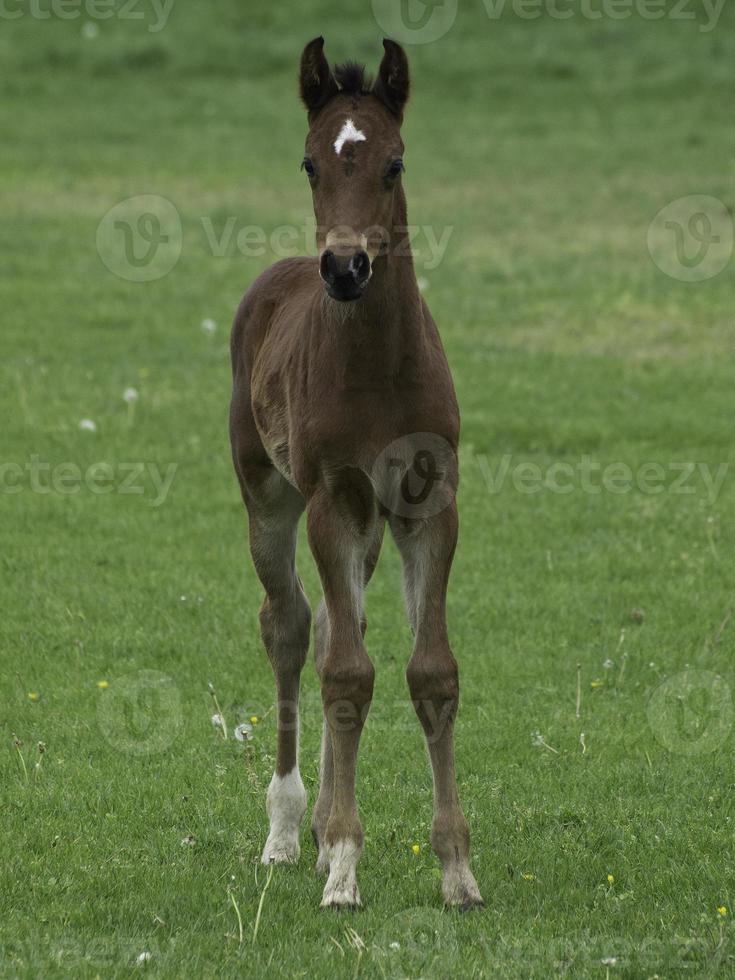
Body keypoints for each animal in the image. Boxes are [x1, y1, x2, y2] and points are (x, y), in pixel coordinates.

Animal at [230, 38, 484, 912]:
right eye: (309, 163)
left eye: (394, 162)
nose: (345, 267)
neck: (378, 367)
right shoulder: (332, 500)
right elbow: (344, 674)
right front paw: (343, 862)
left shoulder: (427, 502)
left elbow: (429, 672)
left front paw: (456, 871)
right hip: (268, 496)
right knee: (291, 628)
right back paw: (288, 830)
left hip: (370, 528)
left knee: (340, 631)